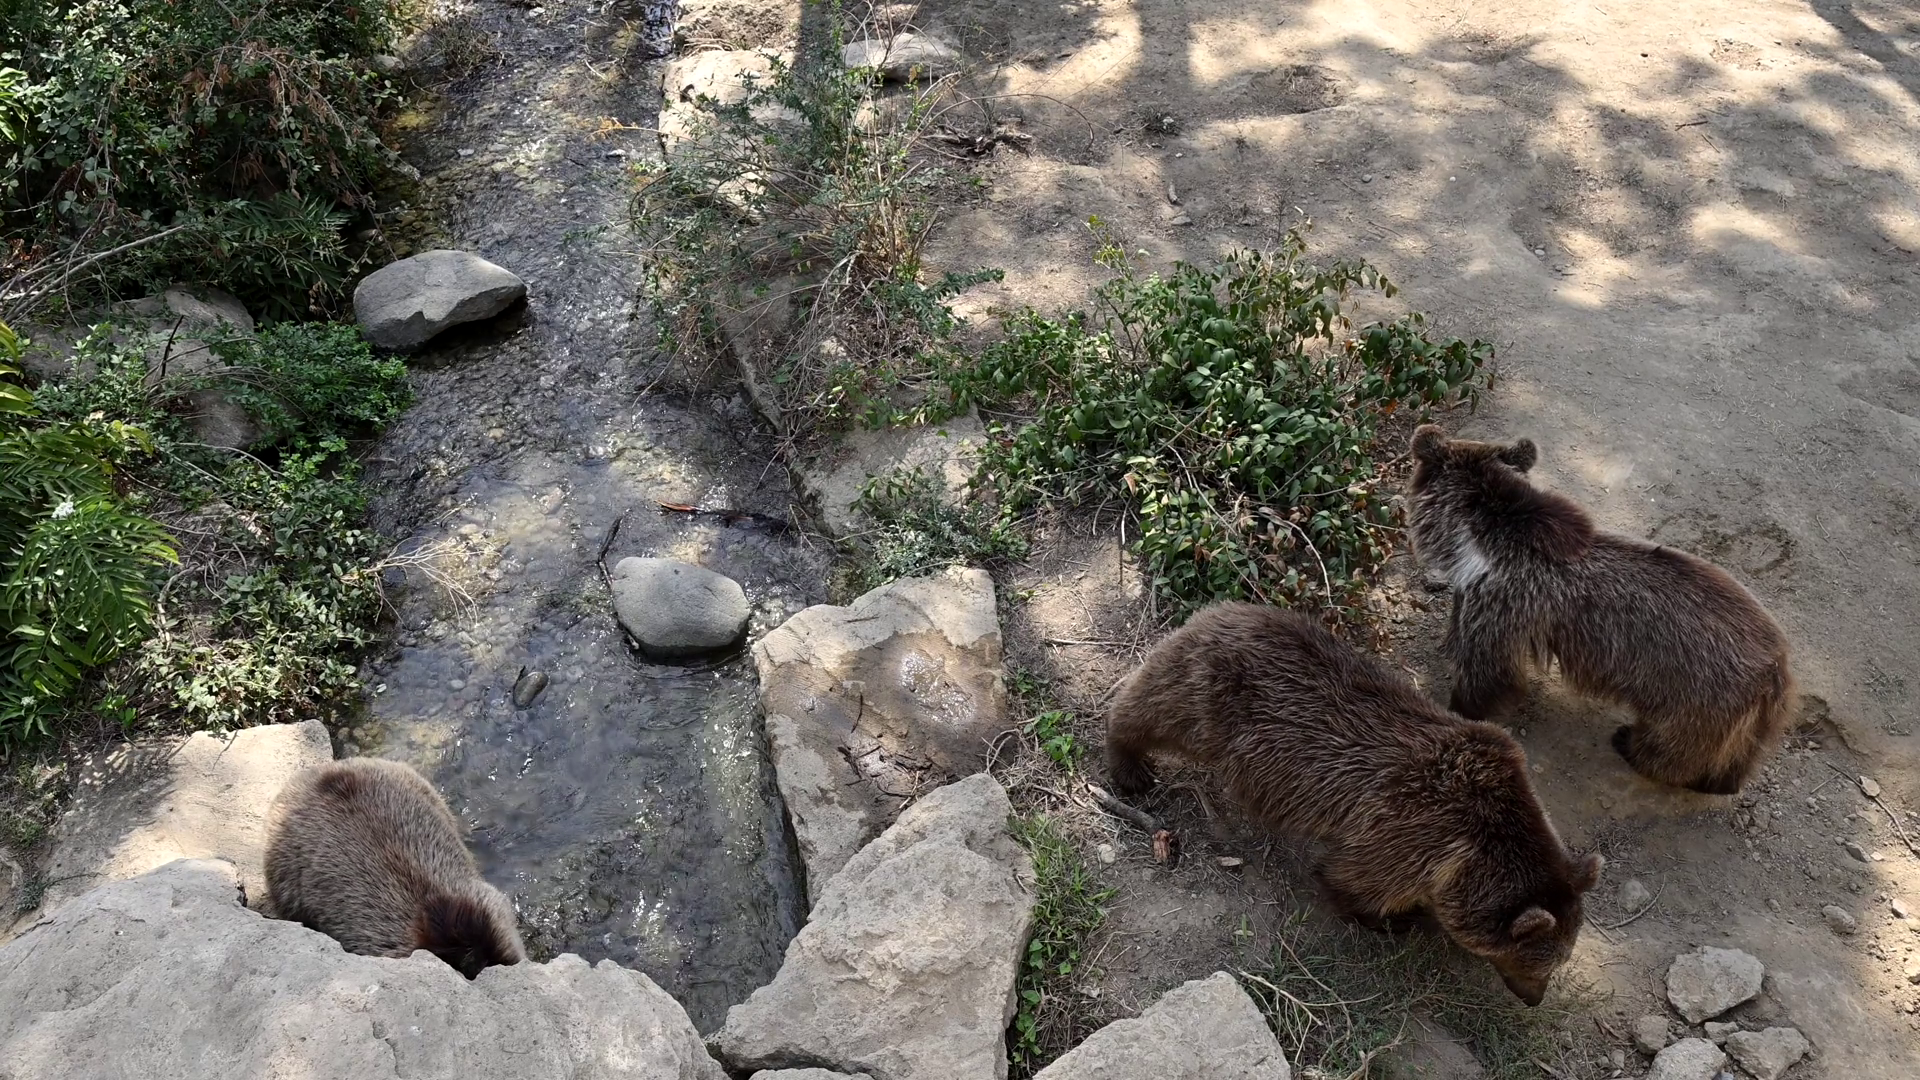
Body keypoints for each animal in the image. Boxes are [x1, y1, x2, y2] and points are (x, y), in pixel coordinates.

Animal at [1106, 602, 1603, 1005]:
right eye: (1536, 964)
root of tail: (1216, 610)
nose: (1534, 999)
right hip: (1208, 701)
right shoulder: (1411, 830)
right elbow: (1357, 880)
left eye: (1556, 963)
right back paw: (1129, 766)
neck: (1476, 853)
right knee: (1148, 711)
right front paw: (1395, 919)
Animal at [1404, 424, 1794, 795]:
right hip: (1750, 718)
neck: (1476, 542)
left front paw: (1459, 707)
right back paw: (1720, 781)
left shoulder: (1504, 604)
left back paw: (1633, 746)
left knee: (1673, 747)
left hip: (1695, 697)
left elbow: (1489, 673)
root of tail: (1776, 665)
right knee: (1738, 758)